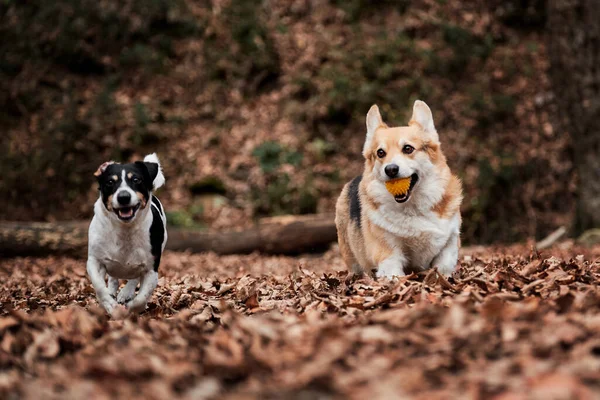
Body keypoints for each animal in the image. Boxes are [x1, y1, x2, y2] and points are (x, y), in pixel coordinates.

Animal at [87, 153, 166, 316]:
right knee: (113, 278)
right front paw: (109, 304)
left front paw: (132, 307)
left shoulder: (151, 269)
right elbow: (99, 286)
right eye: (110, 182)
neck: (124, 229)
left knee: (133, 279)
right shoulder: (94, 260)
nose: (123, 196)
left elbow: (142, 297)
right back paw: (113, 290)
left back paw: (126, 293)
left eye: (136, 180)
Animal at [336, 101, 462, 278]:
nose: (391, 169)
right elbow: (395, 274)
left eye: (408, 148)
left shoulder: (450, 239)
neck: (413, 207)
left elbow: (444, 264)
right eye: (380, 153)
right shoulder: (389, 255)